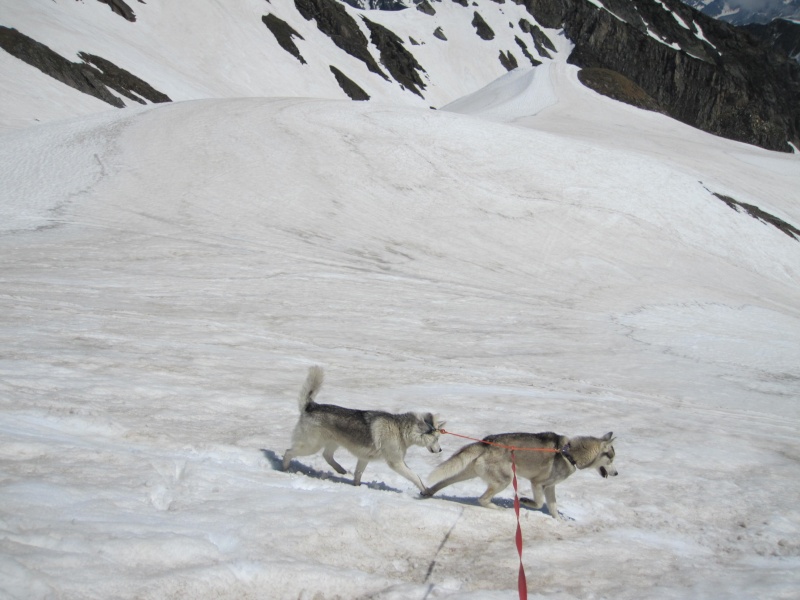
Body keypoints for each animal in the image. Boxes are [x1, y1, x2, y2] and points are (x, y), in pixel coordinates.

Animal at [282, 366, 444, 492]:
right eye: (436, 438)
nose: (441, 450)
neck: (400, 429)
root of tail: (311, 406)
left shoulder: (364, 458)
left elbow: (358, 474)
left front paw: (357, 487)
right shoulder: (396, 463)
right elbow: (415, 477)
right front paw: (425, 490)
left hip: (332, 443)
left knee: (327, 456)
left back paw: (340, 469)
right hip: (311, 446)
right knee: (288, 452)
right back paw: (284, 468)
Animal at [422, 432, 616, 516]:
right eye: (612, 458)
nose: (616, 473)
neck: (569, 453)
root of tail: (486, 442)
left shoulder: (550, 487)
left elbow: (553, 508)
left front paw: (559, 521)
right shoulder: (537, 483)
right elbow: (539, 503)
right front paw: (525, 501)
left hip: (468, 472)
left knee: (443, 482)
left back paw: (428, 492)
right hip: (505, 480)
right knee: (482, 499)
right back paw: (498, 509)